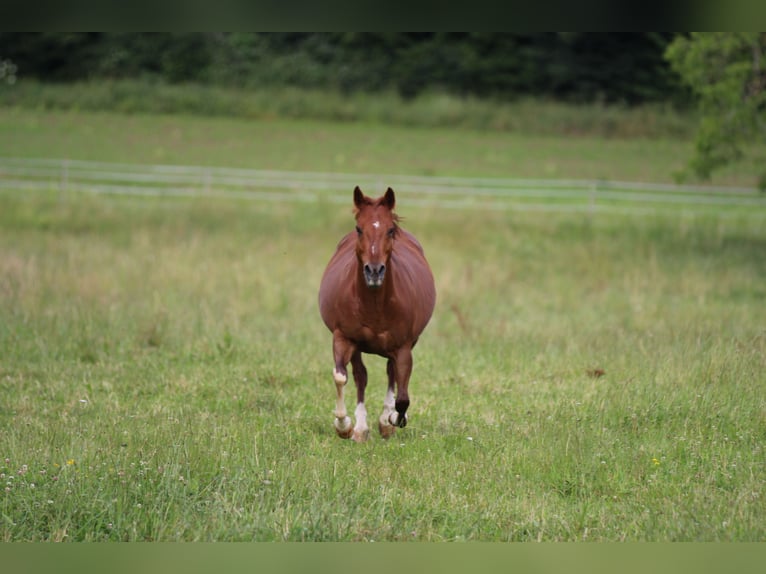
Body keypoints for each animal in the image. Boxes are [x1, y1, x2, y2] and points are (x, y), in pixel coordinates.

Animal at [320, 187, 438, 444]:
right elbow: (341, 377)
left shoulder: (403, 347)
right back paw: (361, 428)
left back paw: (385, 421)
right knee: (360, 376)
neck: (373, 304)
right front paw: (344, 426)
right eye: (358, 228)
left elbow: (402, 397)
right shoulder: (343, 338)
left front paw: (392, 419)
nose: (374, 271)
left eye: (390, 230)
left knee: (391, 373)